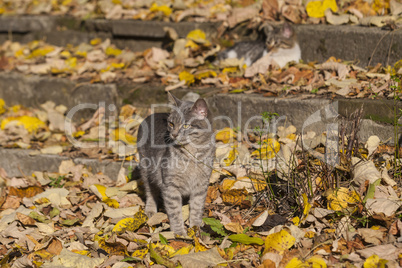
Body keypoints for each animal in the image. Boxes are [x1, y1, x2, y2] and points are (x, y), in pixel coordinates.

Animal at [137, 93, 215, 236]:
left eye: (185, 126)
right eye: (171, 123)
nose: (173, 134)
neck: (192, 154)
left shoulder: (201, 184)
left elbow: (197, 207)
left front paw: (195, 227)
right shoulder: (170, 185)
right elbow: (174, 211)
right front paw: (179, 232)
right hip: (146, 169)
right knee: (150, 191)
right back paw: (150, 209)